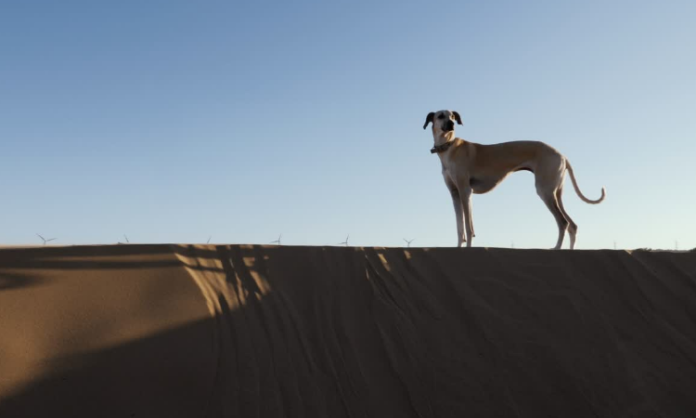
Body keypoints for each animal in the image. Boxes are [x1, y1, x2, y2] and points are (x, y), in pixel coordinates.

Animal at [422, 109, 608, 250]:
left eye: (452, 116)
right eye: (441, 116)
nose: (451, 124)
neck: (449, 148)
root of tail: (562, 155)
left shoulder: (465, 192)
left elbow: (468, 226)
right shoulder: (455, 193)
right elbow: (459, 227)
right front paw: (459, 247)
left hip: (545, 191)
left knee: (563, 222)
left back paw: (556, 248)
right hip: (556, 192)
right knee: (572, 225)